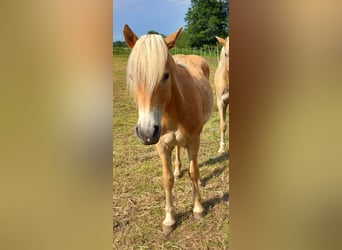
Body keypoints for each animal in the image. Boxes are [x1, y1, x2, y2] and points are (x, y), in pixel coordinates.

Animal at [123, 24, 214, 233]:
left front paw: (198, 208)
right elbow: (167, 179)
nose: (147, 132)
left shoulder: (194, 140)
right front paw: (169, 219)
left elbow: (193, 172)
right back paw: (178, 170)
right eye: (132, 76)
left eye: (165, 75)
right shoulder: (161, 146)